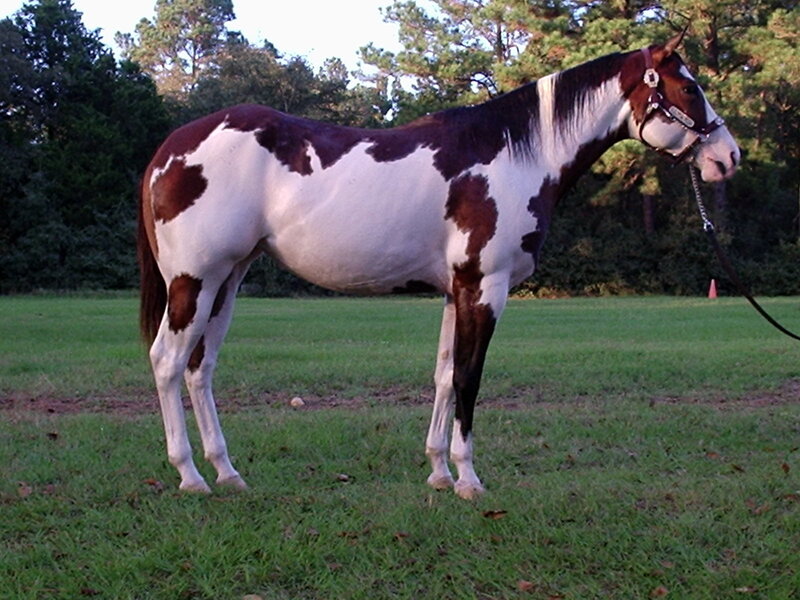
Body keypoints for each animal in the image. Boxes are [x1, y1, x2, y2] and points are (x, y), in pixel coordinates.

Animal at [138, 34, 739, 499]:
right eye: (689, 87)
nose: (727, 157)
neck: (515, 155)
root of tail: (171, 147)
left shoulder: (457, 291)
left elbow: (445, 376)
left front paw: (438, 472)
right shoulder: (486, 288)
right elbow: (470, 378)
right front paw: (470, 480)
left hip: (227, 281)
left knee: (200, 368)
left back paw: (227, 472)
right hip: (195, 281)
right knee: (168, 362)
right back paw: (190, 476)